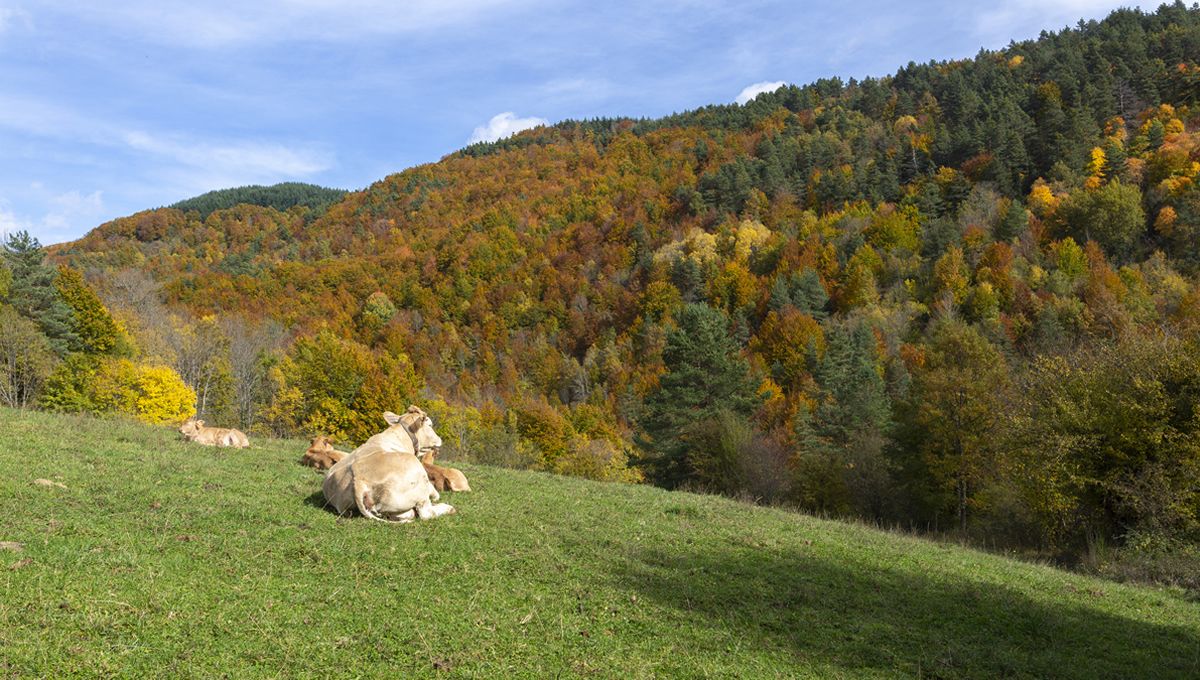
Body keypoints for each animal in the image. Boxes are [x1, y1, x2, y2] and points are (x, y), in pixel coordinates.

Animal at [319, 407, 453, 525]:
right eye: (430, 425)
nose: (440, 439)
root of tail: (359, 480)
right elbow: (435, 493)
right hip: (418, 481)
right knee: (426, 513)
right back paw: (447, 508)